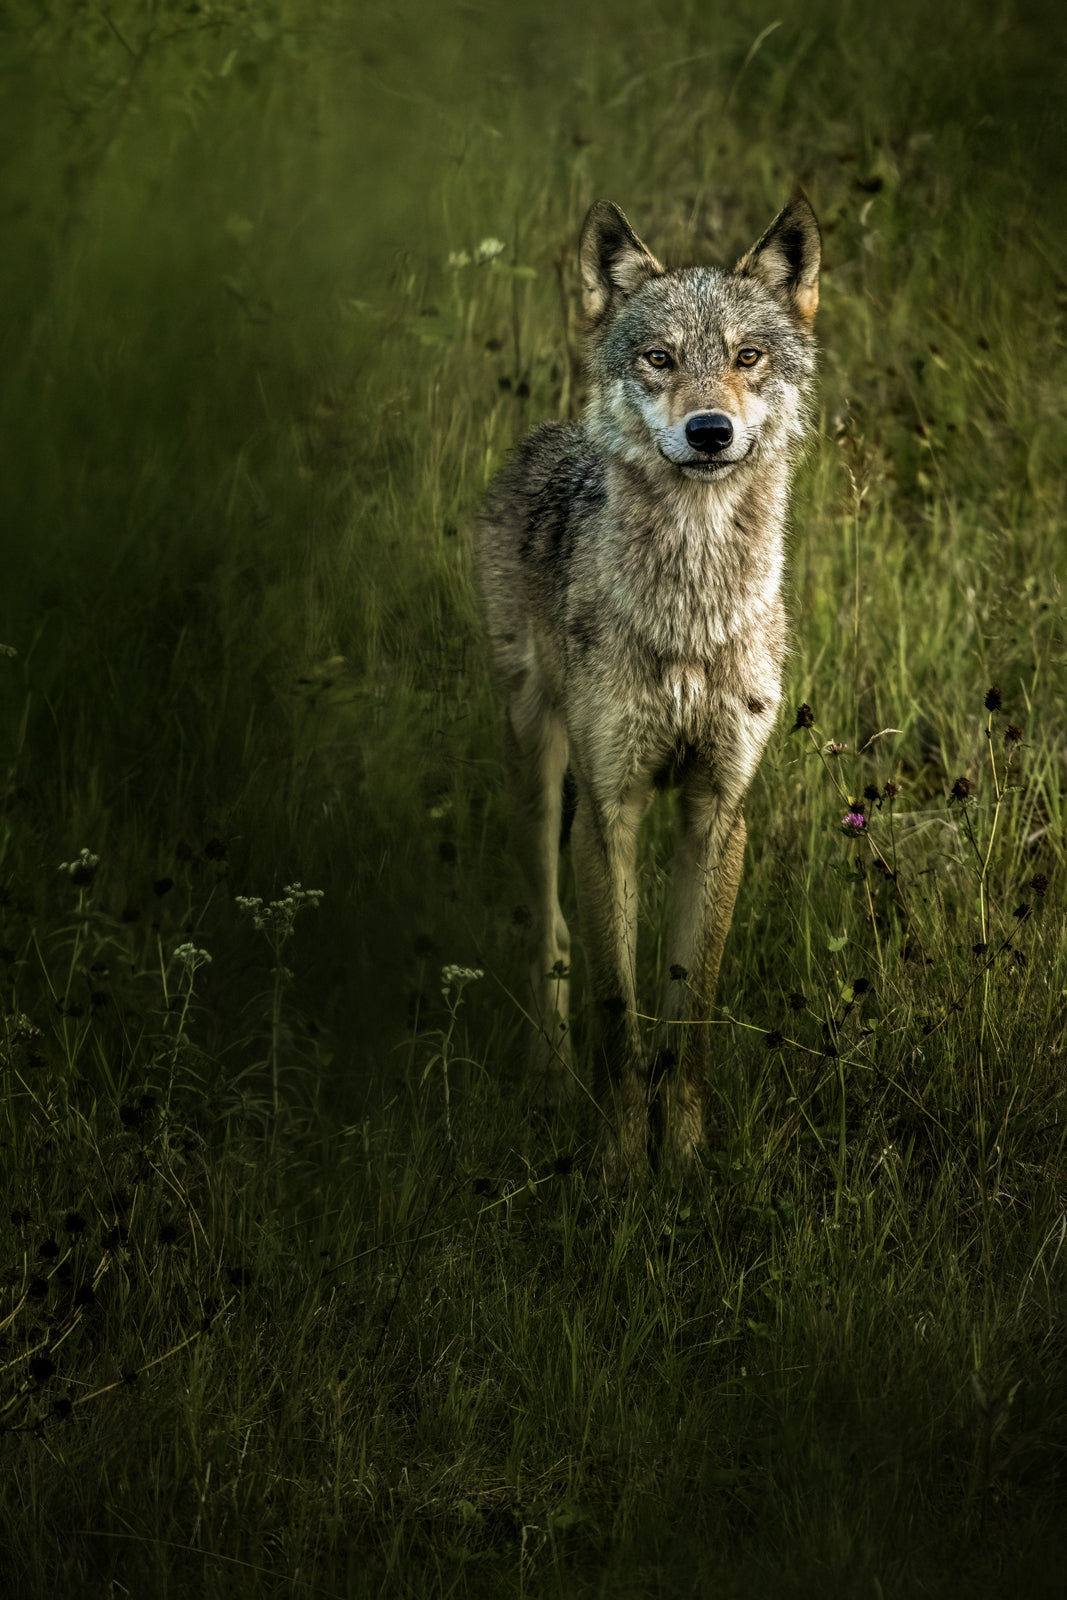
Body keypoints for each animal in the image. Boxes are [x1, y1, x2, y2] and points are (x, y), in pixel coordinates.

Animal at [476, 193, 820, 1182]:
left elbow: (686, 1009)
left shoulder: (717, 808)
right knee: (549, 936)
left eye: (747, 357)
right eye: (659, 358)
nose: (709, 431)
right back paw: (549, 1081)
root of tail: (547, 438)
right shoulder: (611, 807)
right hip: (537, 774)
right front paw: (622, 1158)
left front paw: (687, 1151)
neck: (691, 612)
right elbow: (618, 1010)